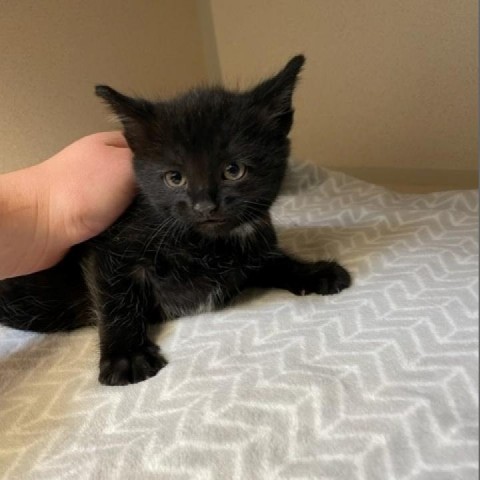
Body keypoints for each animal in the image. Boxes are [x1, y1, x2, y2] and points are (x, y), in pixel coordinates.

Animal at [0, 57, 348, 386]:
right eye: (174, 177)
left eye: (233, 170)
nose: (204, 206)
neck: (205, 244)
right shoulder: (107, 245)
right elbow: (114, 297)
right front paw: (125, 355)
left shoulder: (251, 241)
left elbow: (272, 260)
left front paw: (314, 271)